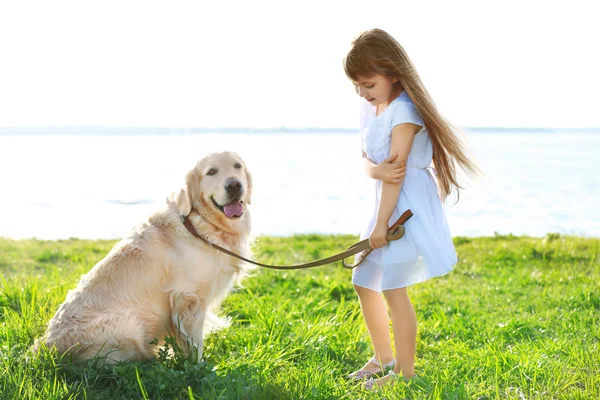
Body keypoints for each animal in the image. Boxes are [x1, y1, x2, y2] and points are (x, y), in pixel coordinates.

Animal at [29, 152, 253, 364]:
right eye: (211, 171)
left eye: (237, 166)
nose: (234, 185)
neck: (199, 224)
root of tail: (44, 348)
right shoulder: (188, 297)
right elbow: (194, 345)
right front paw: (199, 367)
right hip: (130, 321)